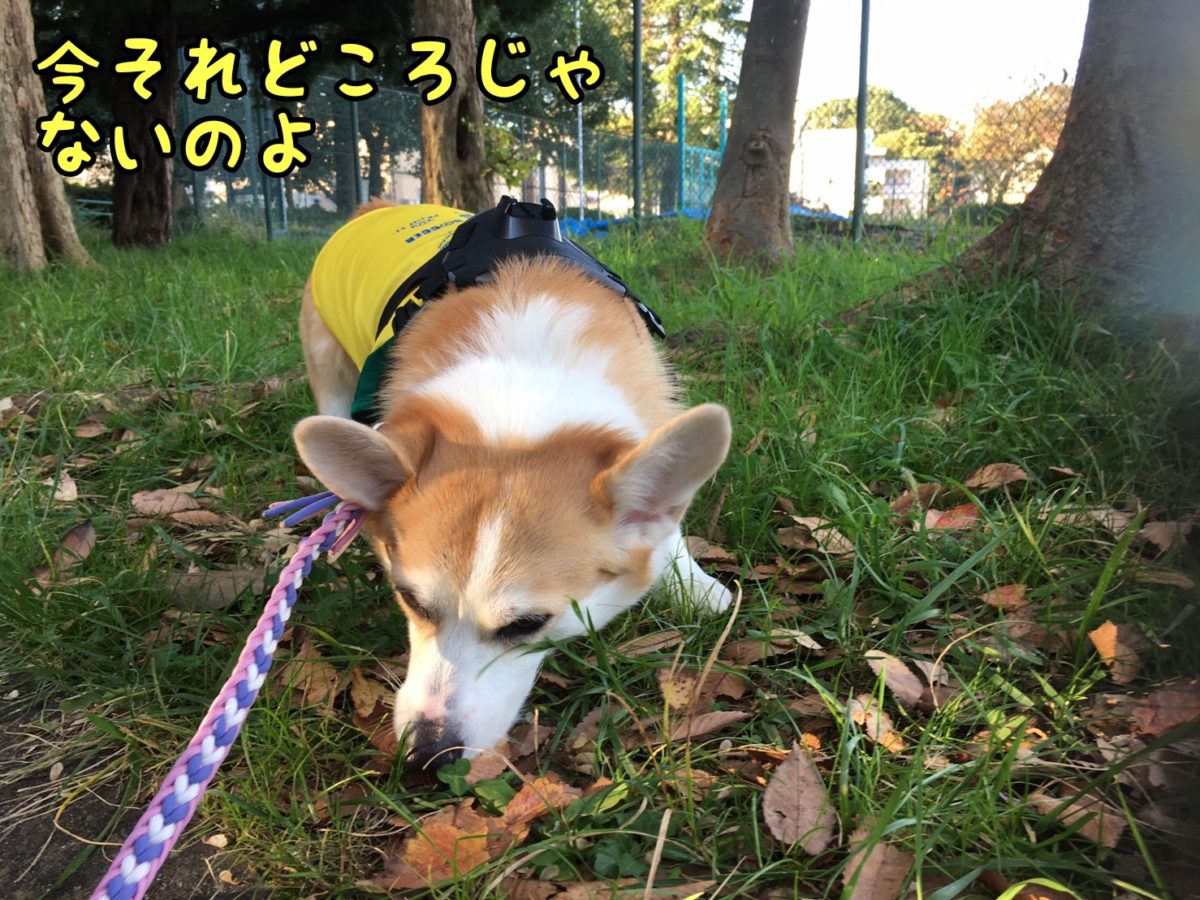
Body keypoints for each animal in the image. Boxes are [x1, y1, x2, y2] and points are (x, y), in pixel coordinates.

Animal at [293, 197, 732, 770]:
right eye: (410, 600)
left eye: (526, 625)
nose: (427, 756)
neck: (521, 397)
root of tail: (380, 203)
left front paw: (693, 583)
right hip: (330, 361)